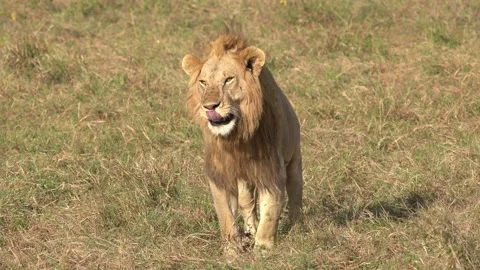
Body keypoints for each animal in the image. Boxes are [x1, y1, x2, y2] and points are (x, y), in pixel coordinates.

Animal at [182, 31, 302, 253]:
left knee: (296, 193)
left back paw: (297, 225)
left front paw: (263, 249)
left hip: (294, 160)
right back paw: (250, 229)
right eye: (203, 82)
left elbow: (270, 212)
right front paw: (232, 250)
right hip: (244, 179)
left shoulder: (271, 170)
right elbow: (226, 215)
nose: (209, 106)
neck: (237, 138)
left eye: (229, 79)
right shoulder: (220, 173)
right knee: (247, 203)